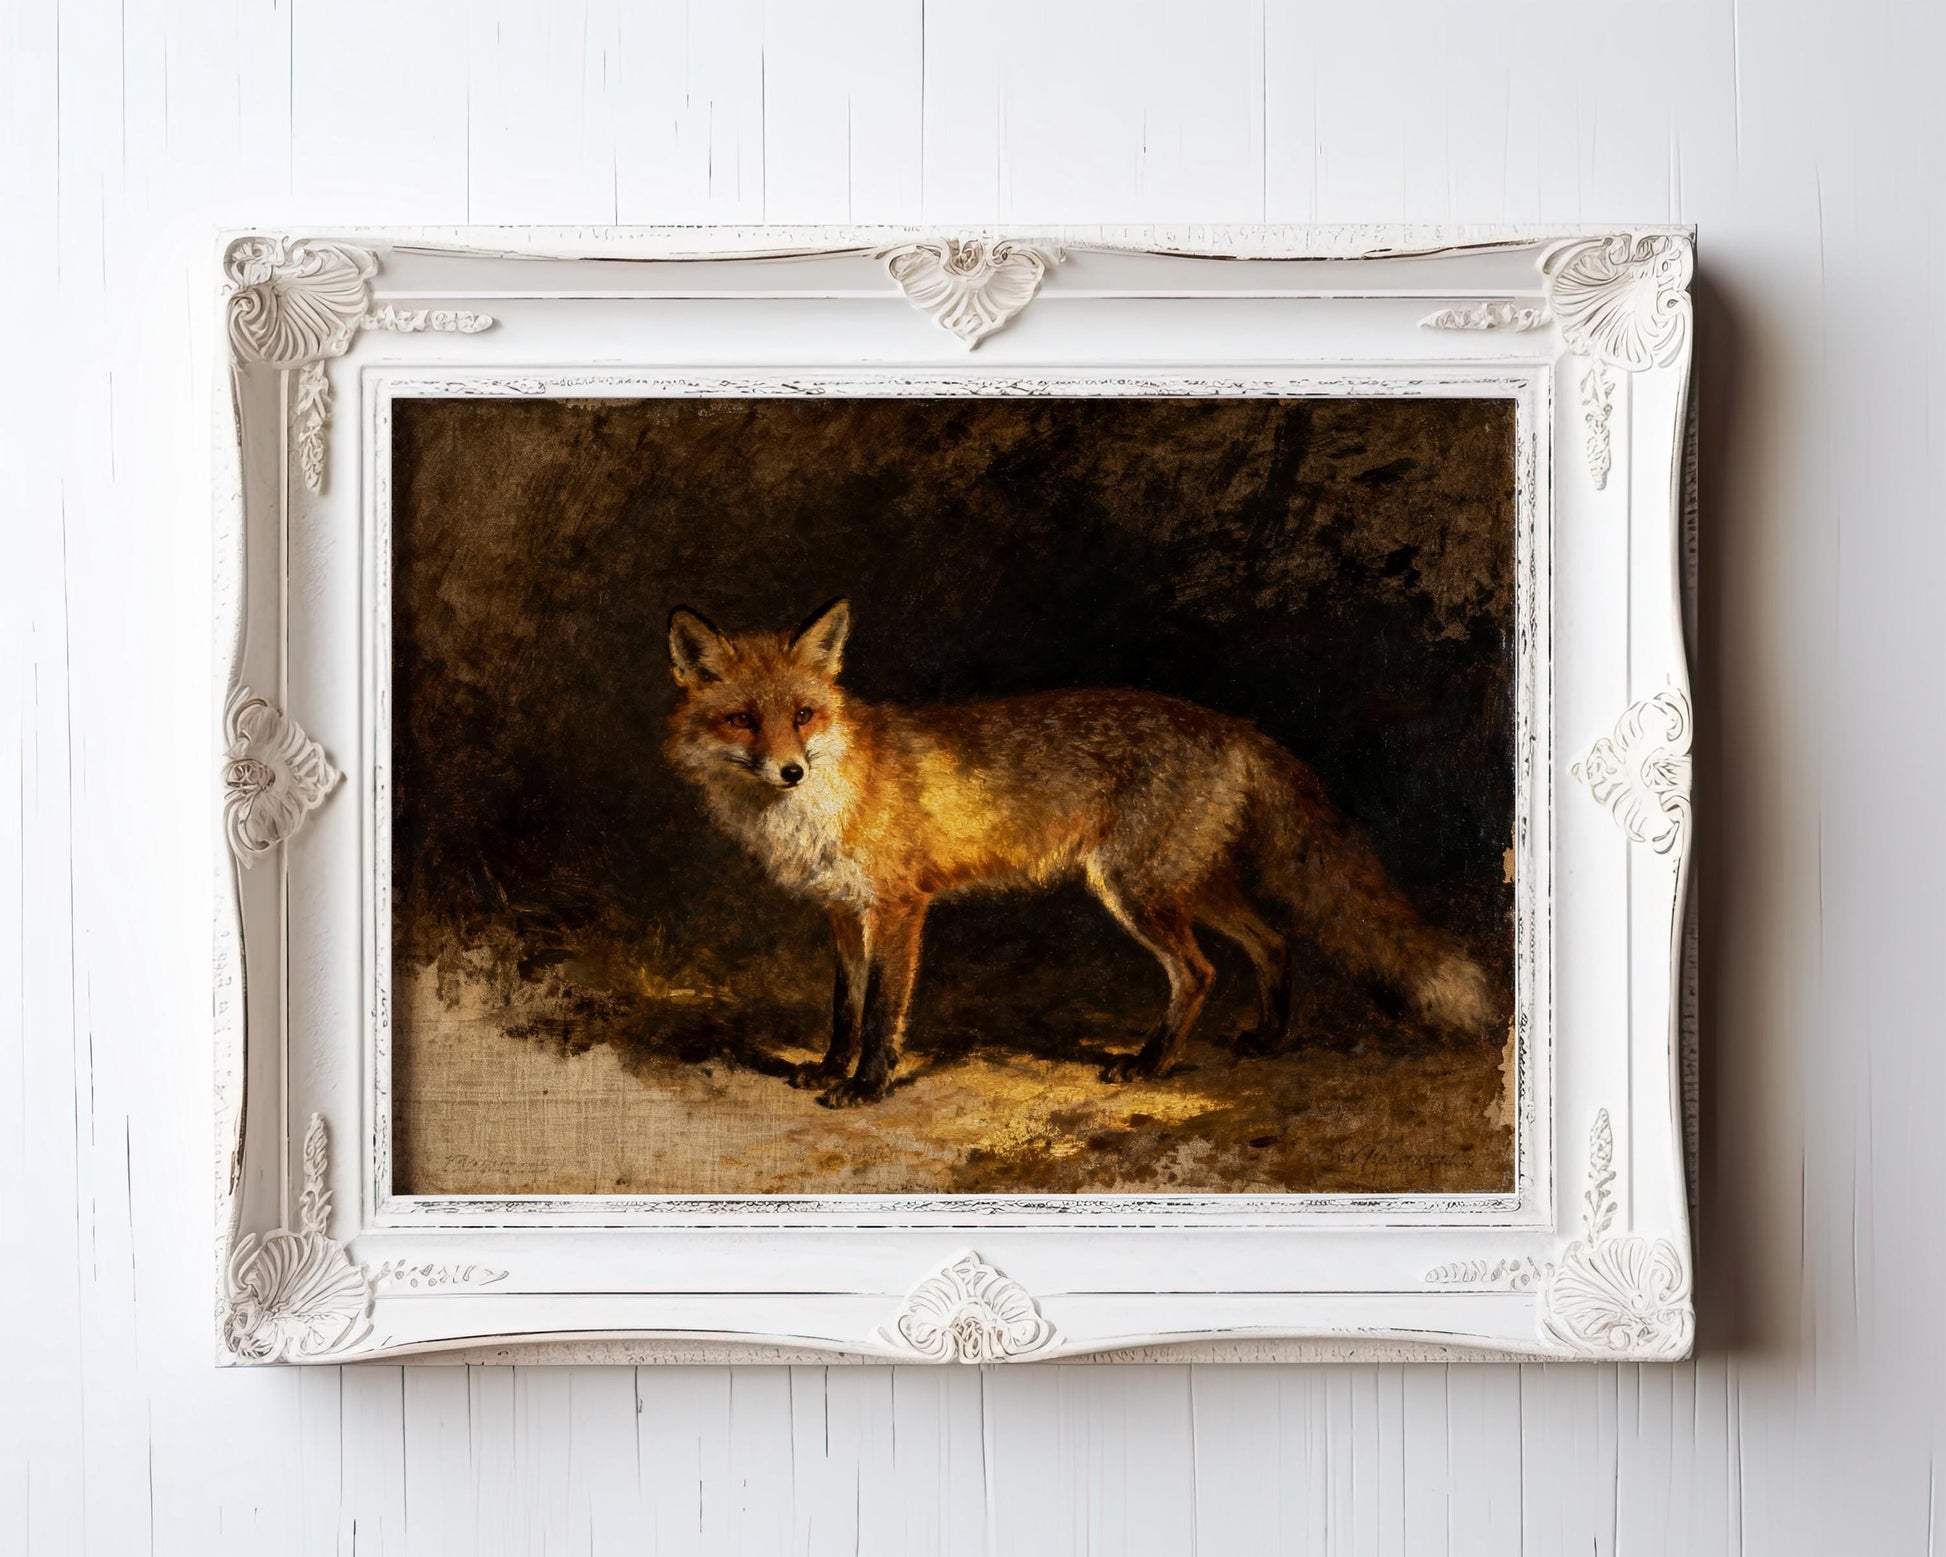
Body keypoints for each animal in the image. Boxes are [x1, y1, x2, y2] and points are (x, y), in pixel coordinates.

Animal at [665, 598, 1496, 1108]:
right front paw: (827, 1069)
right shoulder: (842, 912)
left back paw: (1150, 1063)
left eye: (804, 714)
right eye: (743, 719)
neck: (817, 806)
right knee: (1273, 939)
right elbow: (843, 1007)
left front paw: (866, 1085)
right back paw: (1269, 1037)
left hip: (1138, 891)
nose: (790, 769)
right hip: (1186, 885)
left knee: (1200, 971)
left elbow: (880, 1013)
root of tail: (1232, 724)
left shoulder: (899, 907)